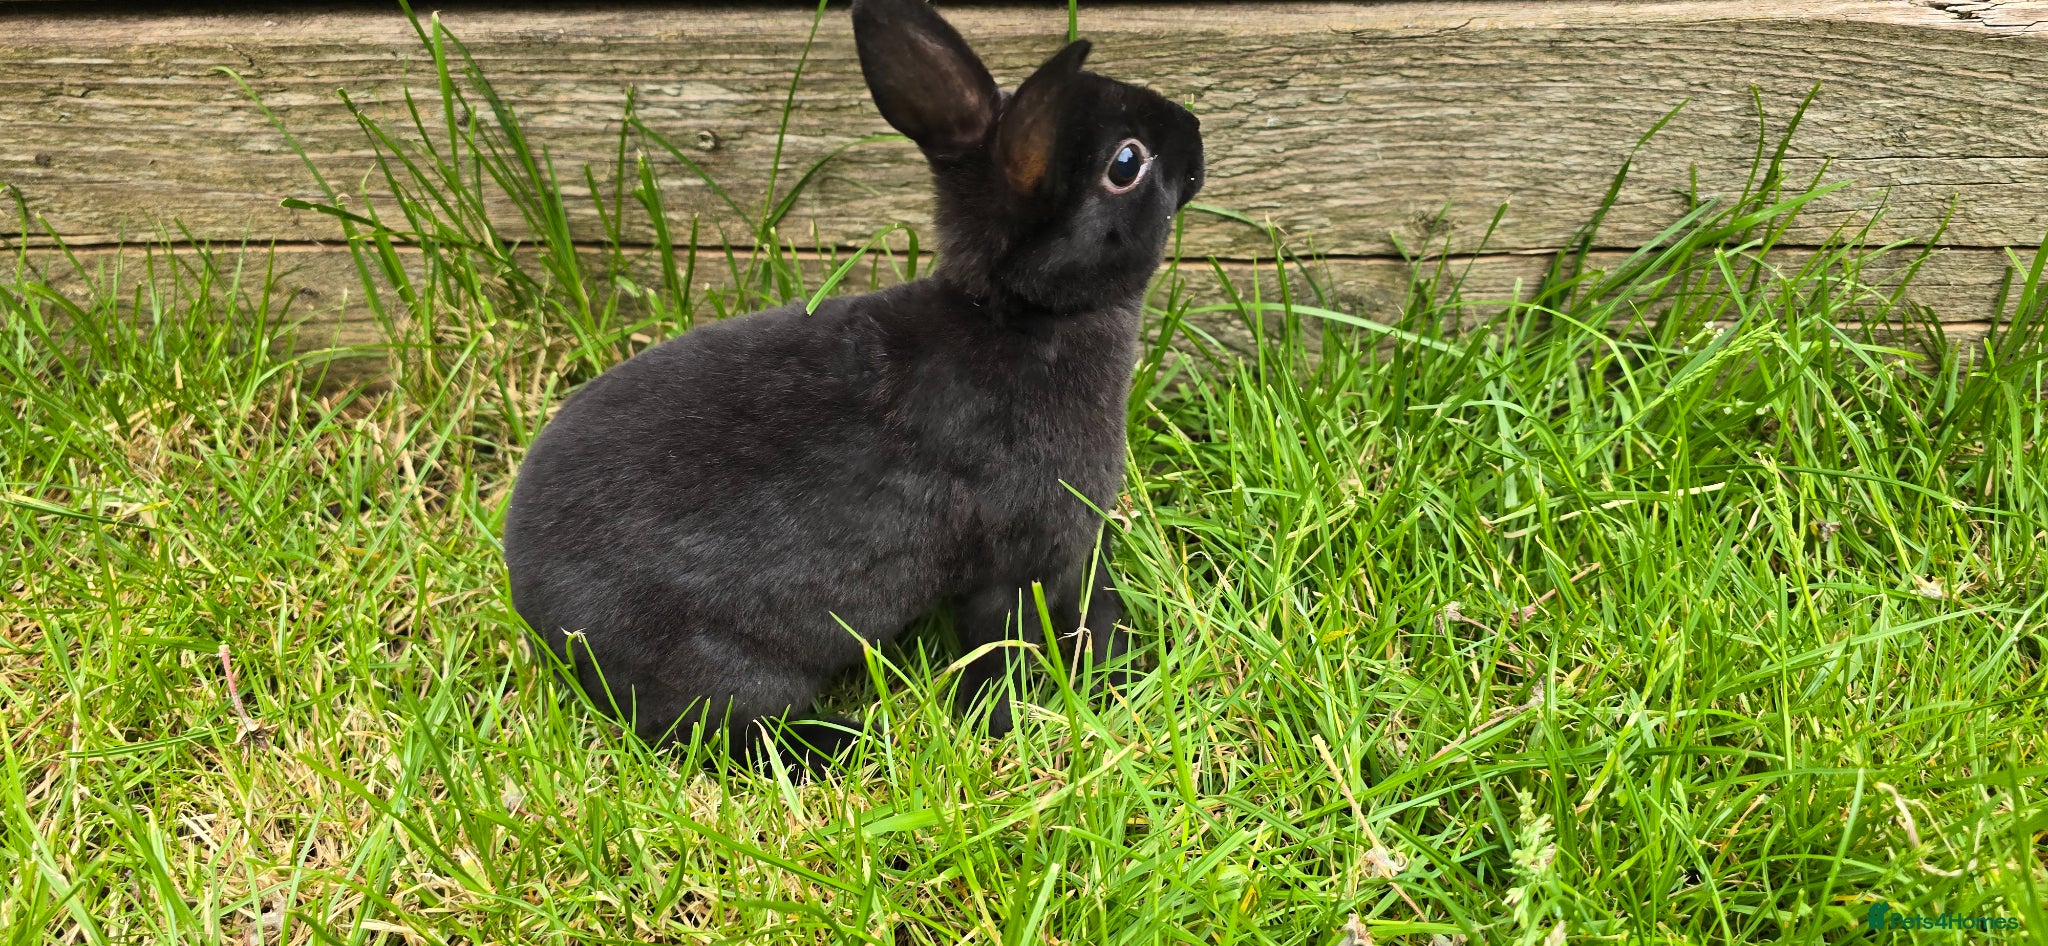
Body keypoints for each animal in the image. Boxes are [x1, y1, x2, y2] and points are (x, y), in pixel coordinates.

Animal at [501, 0, 1204, 772]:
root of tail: (537, 609)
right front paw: (1020, 716)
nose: (1196, 132)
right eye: (1127, 163)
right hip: (719, 667)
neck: (1021, 317)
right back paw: (845, 744)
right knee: (720, 728)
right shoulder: (1024, 563)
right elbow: (1010, 644)